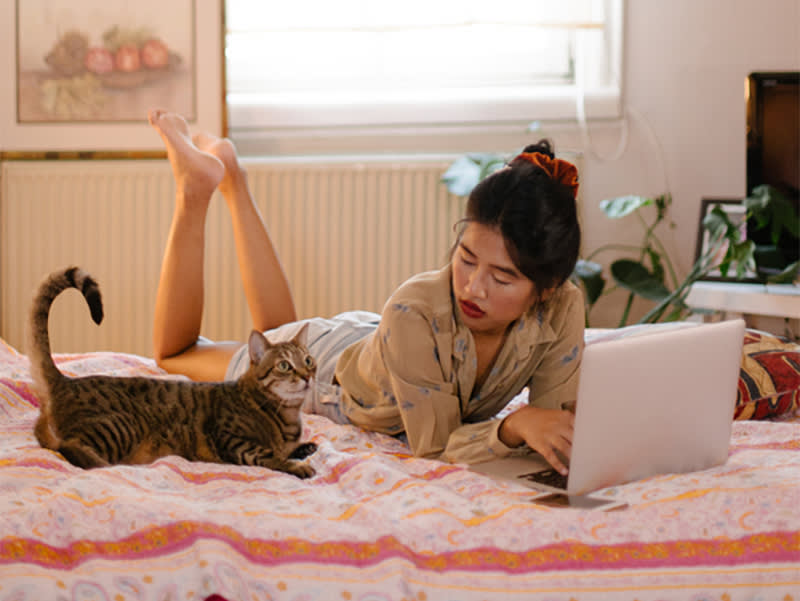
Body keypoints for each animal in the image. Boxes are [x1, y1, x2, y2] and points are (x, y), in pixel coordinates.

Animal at [31, 264, 318, 476]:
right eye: (284, 365)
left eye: (308, 361)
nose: (307, 376)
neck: (288, 414)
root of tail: (66, 382)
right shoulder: (233, 440)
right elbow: (271, 455)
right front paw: (298, 465)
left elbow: (291, 448)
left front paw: (303, 448)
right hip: (121, 425)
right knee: (67, 446)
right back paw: (105, 464)